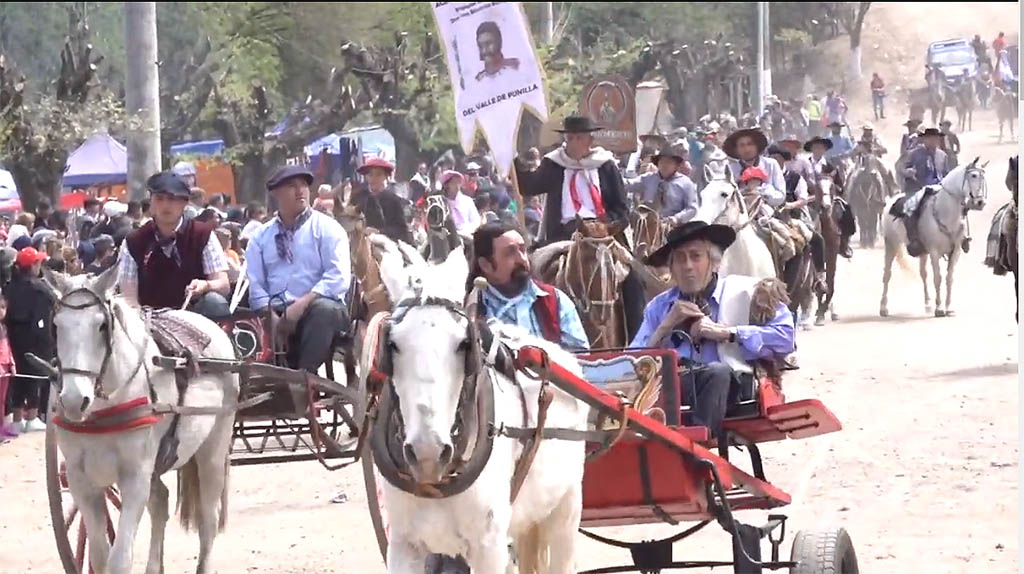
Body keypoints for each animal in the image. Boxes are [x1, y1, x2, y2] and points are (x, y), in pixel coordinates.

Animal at [44, 268, 237, 572]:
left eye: (102, 326)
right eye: (56, 326)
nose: (74, 400)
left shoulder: (135, 476)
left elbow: (119, 559)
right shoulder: (79, 479)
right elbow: (99, 555)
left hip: (213, 449)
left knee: (209, 520)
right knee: (161, 504)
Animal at [372, 246, 589, 572]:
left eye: (463, 344)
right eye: (393, 344)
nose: (427, 453)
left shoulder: (489, 547)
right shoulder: (403, 545)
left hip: (566, 505)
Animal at [880, 158, 983, 315]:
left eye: (984, 177)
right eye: (973, 175)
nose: (980, 202)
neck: (945, 212)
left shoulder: (955, 251)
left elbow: (949, 278)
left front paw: (948, 308)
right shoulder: (934, 252)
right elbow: (937, 278)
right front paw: (939, 308)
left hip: (922, 251)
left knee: (923, 274)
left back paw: (927, 304)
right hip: (891, 244)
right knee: (887, 274)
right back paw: (884, 307)